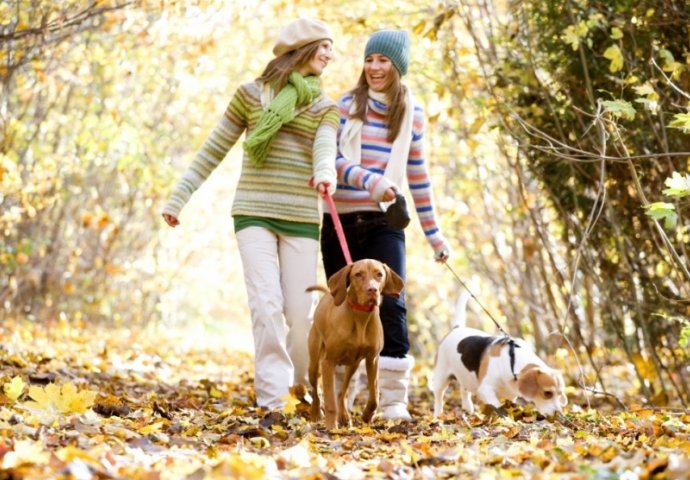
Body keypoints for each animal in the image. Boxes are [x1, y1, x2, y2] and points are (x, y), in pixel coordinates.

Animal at [306, 260, 404, 430]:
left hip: (353, 365)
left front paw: (367, 416)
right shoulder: (328, 362)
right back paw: (316, 413)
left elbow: (374, 397)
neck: (361, 316)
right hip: (314, 365)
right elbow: (329, 400)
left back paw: (344, 416)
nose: (372, 290)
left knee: (342, 391)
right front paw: (331, 426)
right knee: (316, 390)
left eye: (379, 274)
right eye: (358, 274)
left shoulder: (372, 360)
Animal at [432, 288, 568, 416]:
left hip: (465, 376)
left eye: (559, 394)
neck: (512, 362)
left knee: (464, 390)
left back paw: (468, 408)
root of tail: (457, 328)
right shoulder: (486, 390)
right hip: (441, 378)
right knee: (438, 397)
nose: (559, 414)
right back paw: (438, 415)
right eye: (547, 393)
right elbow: (498, 406)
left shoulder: (511, 395)